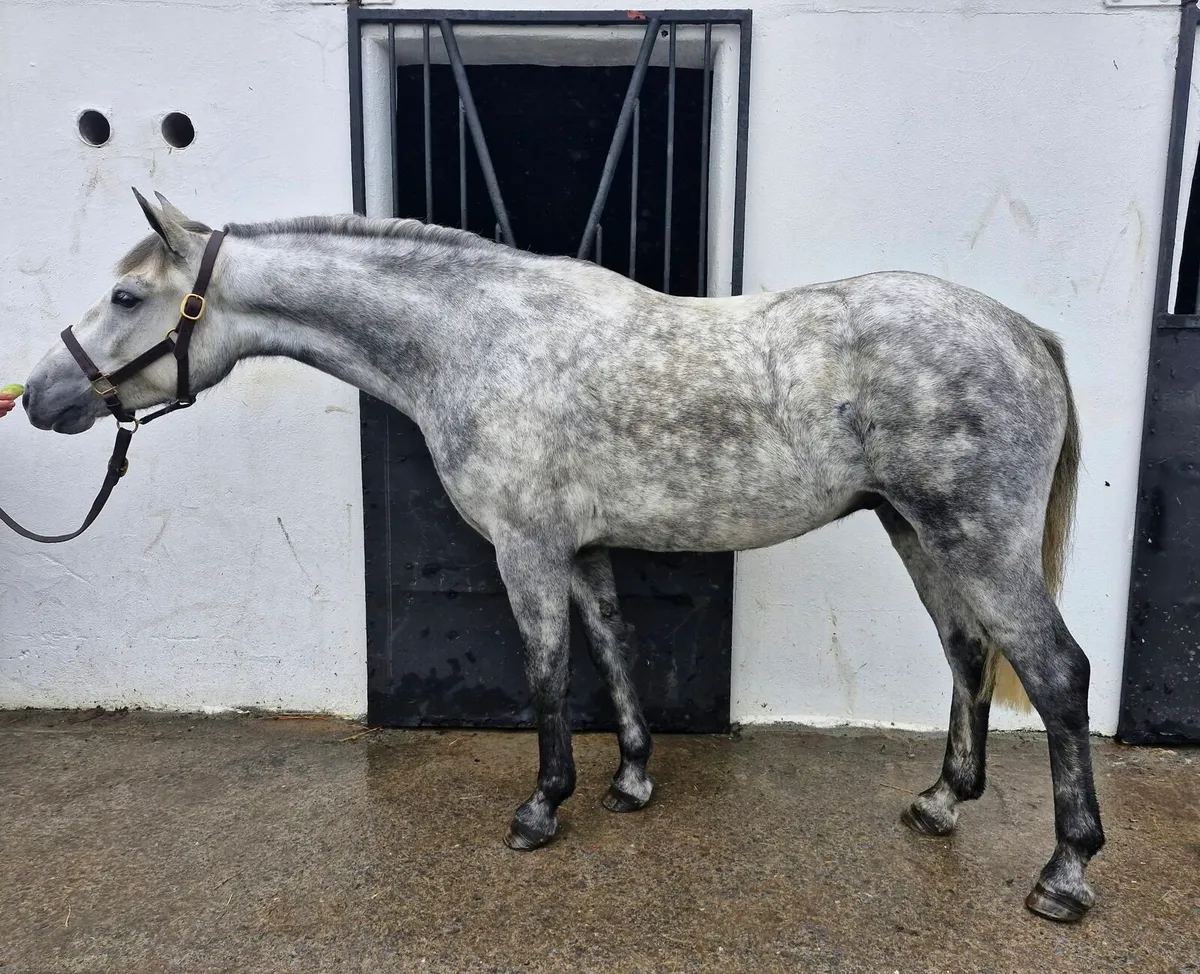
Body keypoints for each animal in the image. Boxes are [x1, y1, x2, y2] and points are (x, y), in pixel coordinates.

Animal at [23, 190, 1103, 923]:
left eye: (126, 294)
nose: (39, 396)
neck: (474, 341)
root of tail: (1026, 333)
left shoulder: (527, 548)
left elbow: (546, 671)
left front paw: (542, 807)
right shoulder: (581, 548)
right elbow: (615, 647)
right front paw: (631, 779)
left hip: (977, 539)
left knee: (1056, 672)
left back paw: (1066, 871)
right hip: (916, 530)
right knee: (969, 654)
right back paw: (941, 802)